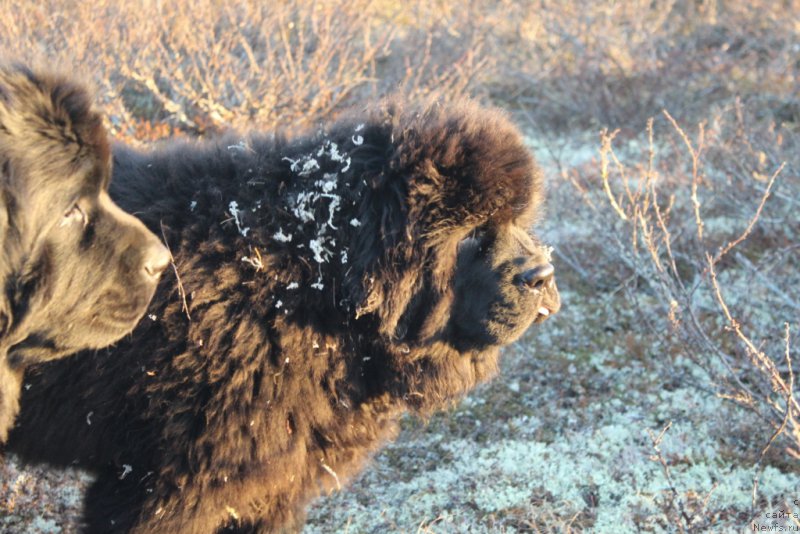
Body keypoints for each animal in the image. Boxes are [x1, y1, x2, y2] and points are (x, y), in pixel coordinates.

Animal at [12, 99, 564, 532]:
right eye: (470, 234)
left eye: (518, 219)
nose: (542, 275)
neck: (306, 282)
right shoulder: (164, 488)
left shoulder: (273, 487)